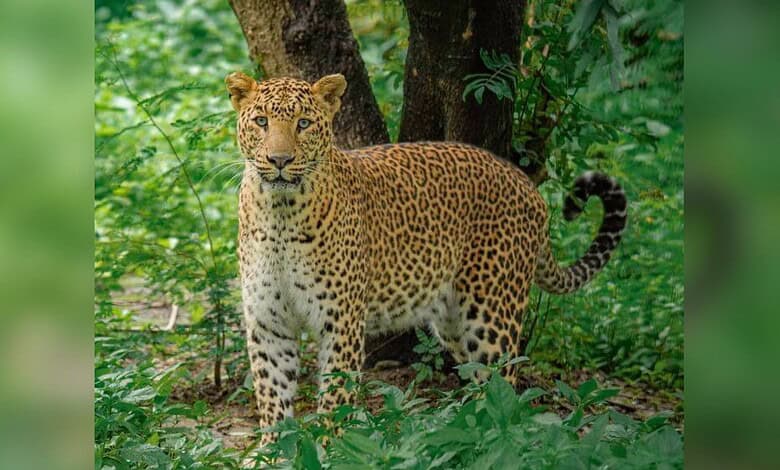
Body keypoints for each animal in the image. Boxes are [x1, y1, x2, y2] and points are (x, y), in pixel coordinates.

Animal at [225, 71, 627, 441]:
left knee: (505, 383)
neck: (280, 212)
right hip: (453, 322)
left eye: (304, 123)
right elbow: (272, 393)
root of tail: (527, 185)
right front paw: (274, 450)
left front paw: (328, 448)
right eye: (261, 121)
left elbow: (336, 397)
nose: (279, 159)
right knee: (481, 382)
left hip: (491, 314)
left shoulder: (340, 322)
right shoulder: (268, 321)